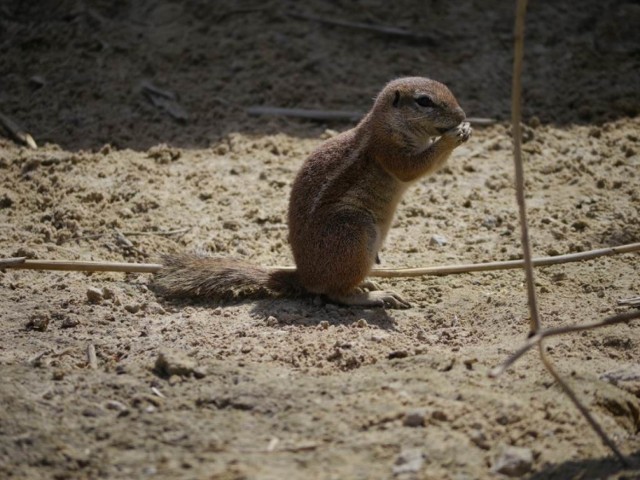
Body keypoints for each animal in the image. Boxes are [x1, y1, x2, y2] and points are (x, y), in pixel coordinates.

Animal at [155, 75, 470, 308]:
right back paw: (375, 296)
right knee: (335, 294)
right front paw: (453, 137)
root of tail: (303, 277)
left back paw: (367, 283)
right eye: (424, 101)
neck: (385, 123)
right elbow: (414, 168)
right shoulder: (388, 150)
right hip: (355, 231)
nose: (462, 115)